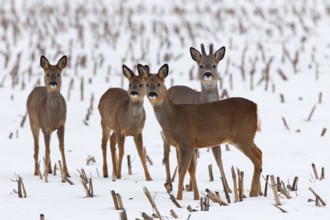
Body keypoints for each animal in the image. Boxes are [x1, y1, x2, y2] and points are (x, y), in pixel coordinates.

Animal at [138, 64, 262, 201]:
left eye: (159, 84)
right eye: (147, 84)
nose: (152, 94)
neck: (174, 118)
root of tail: (255, 107)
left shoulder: (186, 141)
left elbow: (182, 169)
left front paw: (179, 198)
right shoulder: (189, 144)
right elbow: (191, 169)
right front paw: (196, 196)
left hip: (242, 136)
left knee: (256, 158)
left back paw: (252, 193)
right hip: (245, 137)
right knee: (260, 153)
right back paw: (258, 192)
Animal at [164, 44, 231, 192]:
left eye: (214, 65)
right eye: (201, 65)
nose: (208, 74)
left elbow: (219, 159)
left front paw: (229, 189)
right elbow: (194, 160)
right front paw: (190, 187)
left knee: (177, 153)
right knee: (166, 152)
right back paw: (169, 184)